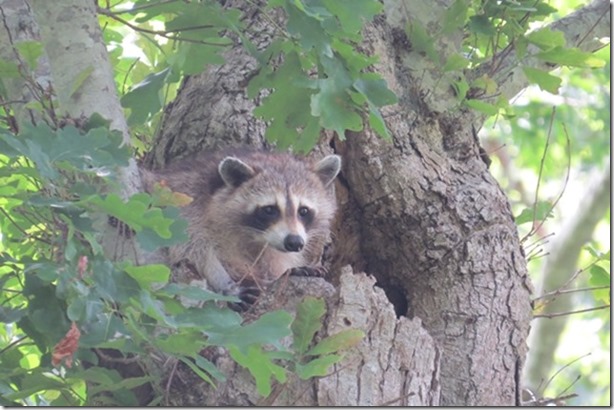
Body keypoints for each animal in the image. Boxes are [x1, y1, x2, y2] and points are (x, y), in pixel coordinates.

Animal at [143, 149, 342, 306]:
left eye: (303, 211)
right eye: (269, 209)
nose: (294, 242)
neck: (253, 235)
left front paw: (285, 271)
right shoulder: (184, 203)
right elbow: (190, 248)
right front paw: (223, 282)